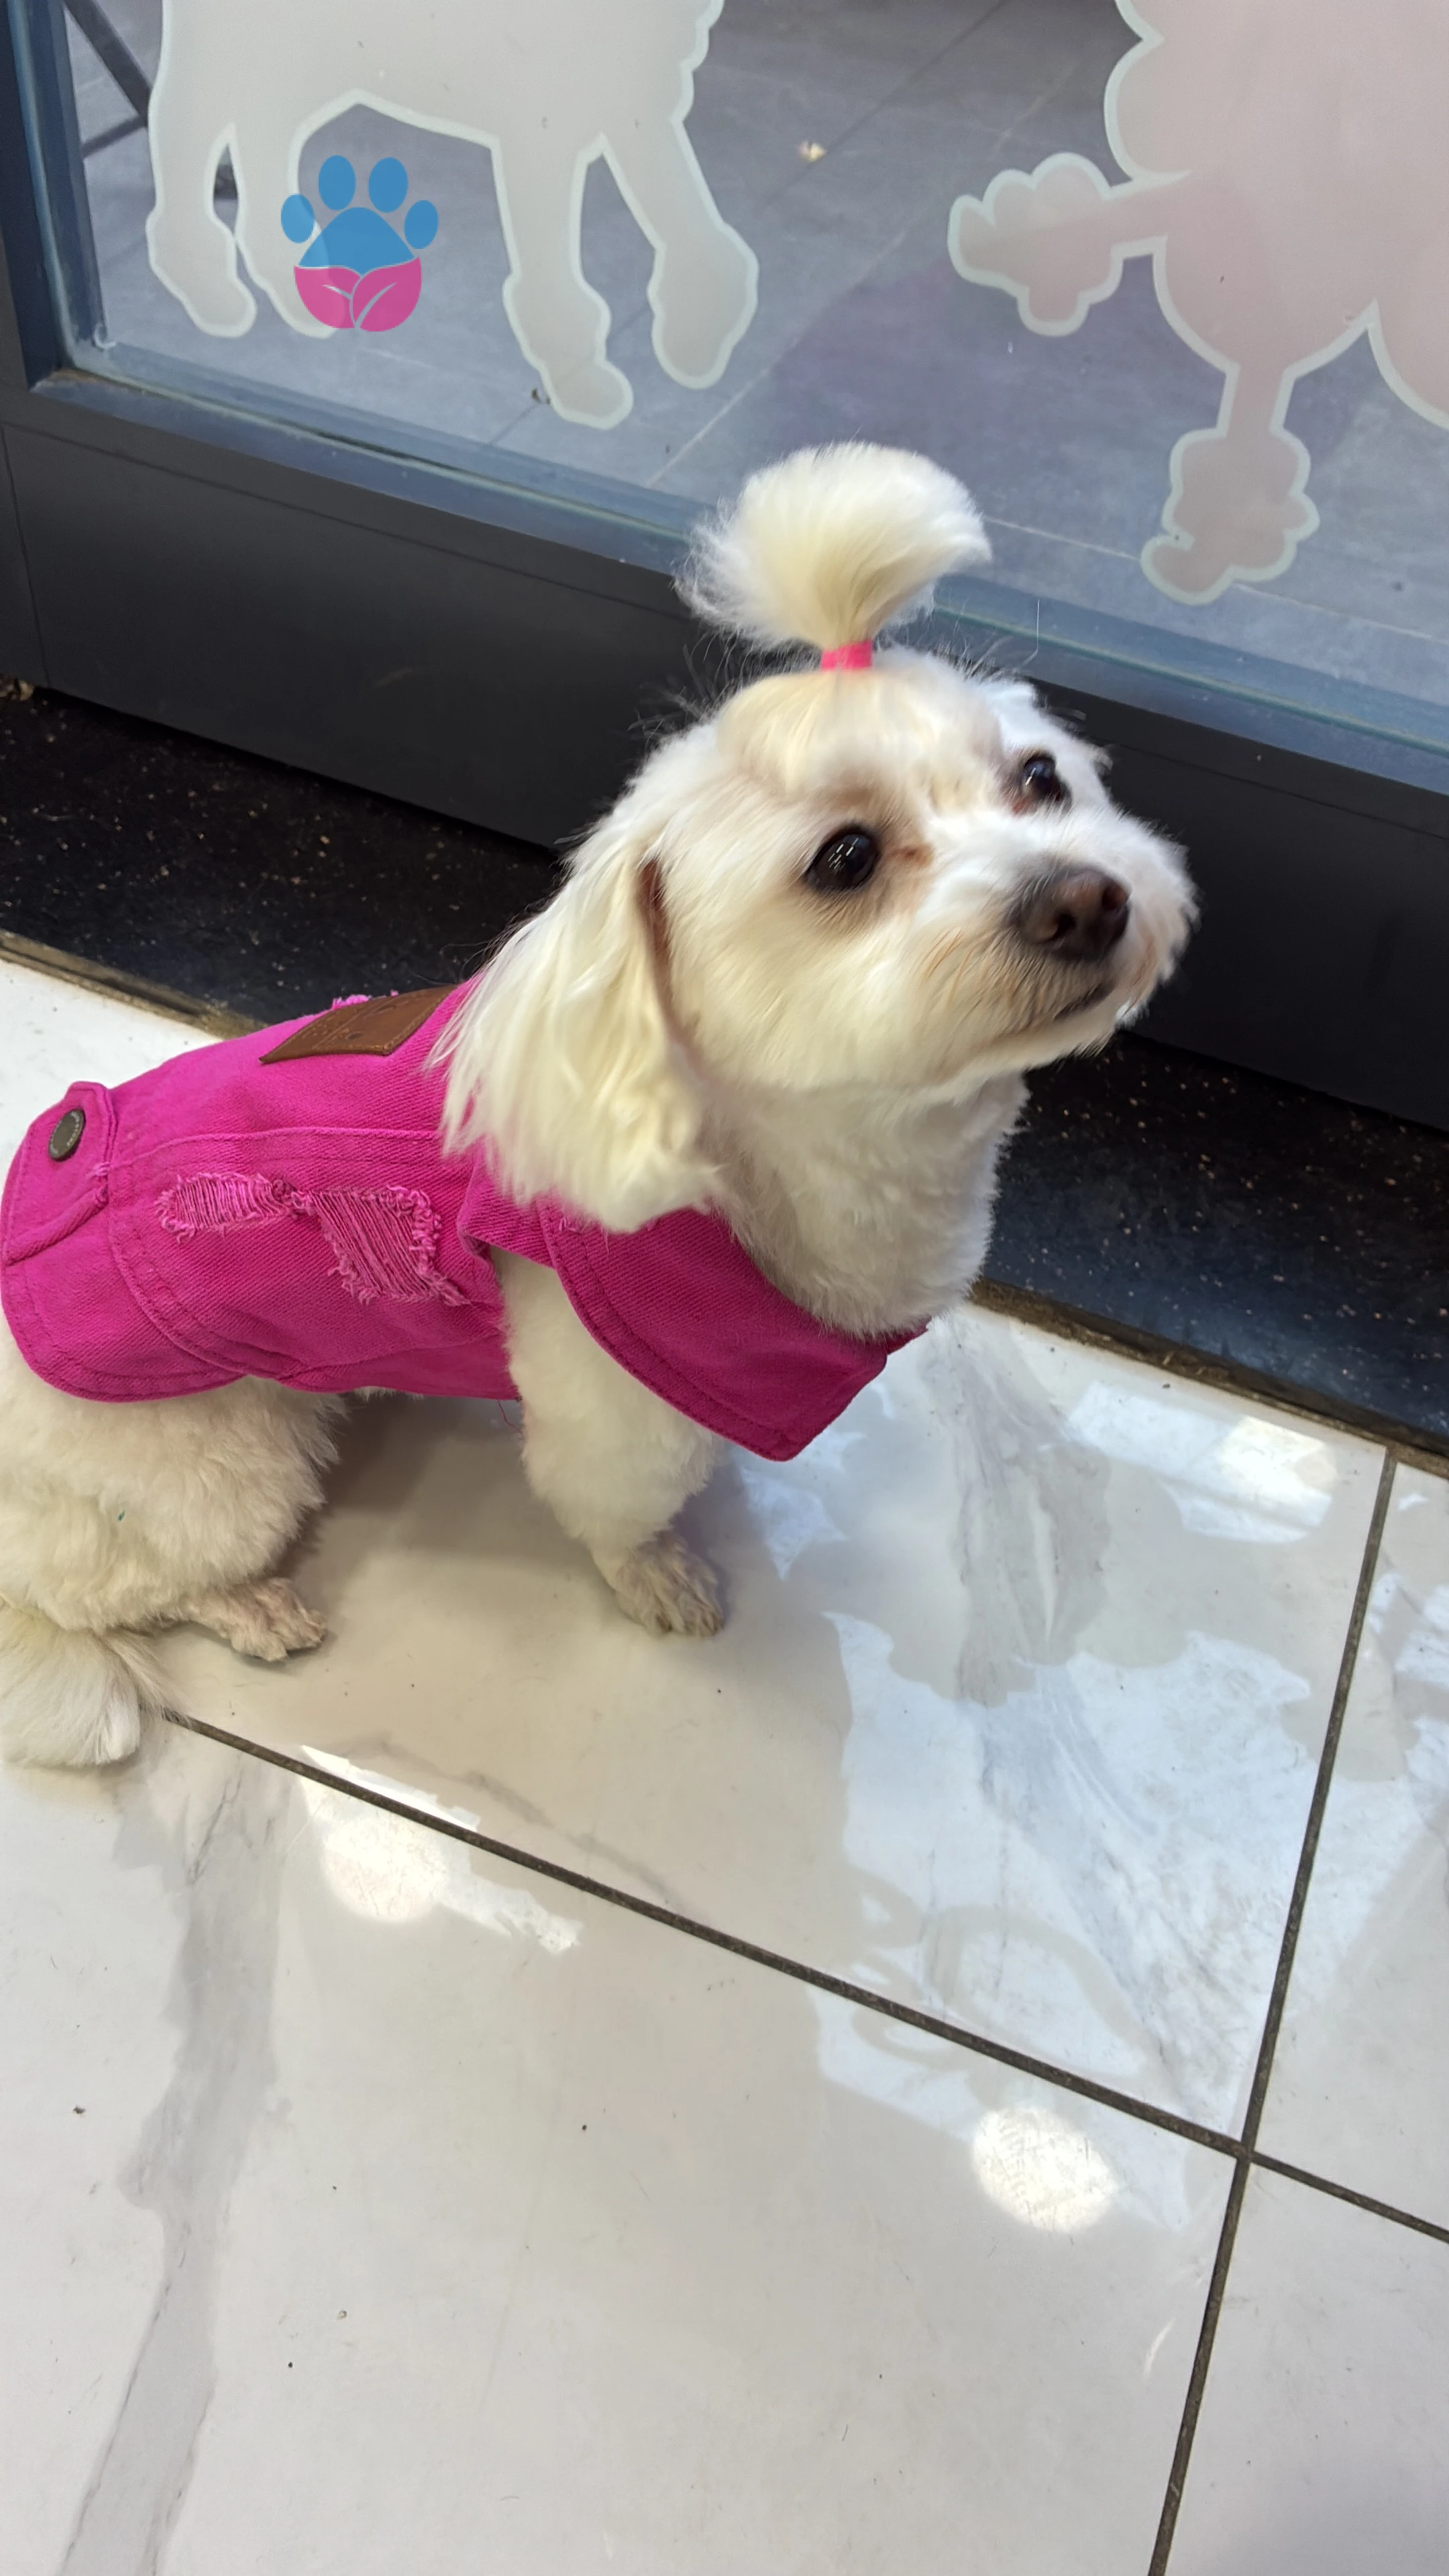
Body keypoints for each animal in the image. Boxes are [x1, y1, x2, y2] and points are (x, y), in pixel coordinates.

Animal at [0, 443, 1193, 1770]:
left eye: (1040, 779)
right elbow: (617, 1509)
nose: (1085, 899)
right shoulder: (613, 1412)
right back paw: (248, 1606)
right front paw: (660, 1574)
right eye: (844, 859)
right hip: (210, 1461)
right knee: (94, 1586)